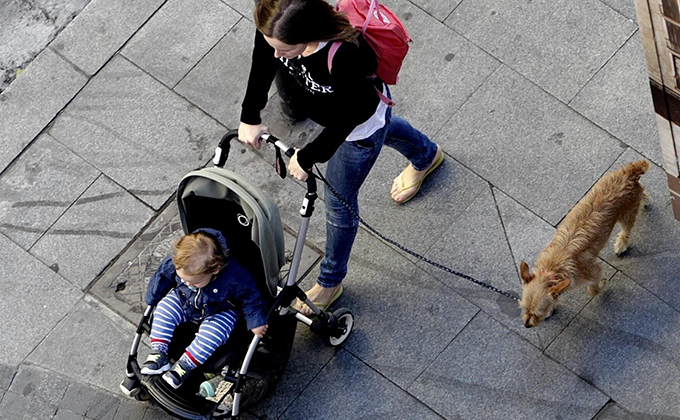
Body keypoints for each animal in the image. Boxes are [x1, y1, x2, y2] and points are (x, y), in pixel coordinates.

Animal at [516, 161, 652, 328]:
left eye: (537, 313)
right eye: (524, 308)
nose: (526, 325)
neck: (552, 270)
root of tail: (628, 172)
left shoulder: (593, 271)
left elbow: (593, 290)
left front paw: (602, 285)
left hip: (626, 214)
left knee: (626, 229)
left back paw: (621, 244)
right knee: (642, 192)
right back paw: (645, 201)